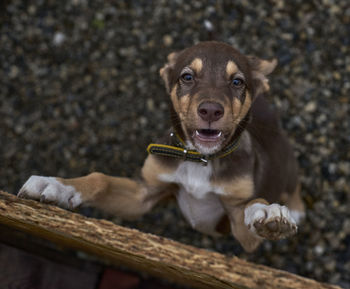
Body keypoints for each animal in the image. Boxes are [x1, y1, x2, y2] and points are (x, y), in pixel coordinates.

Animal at [18, 41, 304, 251]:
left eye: (237, 82)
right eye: (187, 77)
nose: (211, 110)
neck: (199, 160)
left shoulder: (241, 229)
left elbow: (252, 204)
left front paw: (269, 213)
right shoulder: (144, 194)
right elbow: (101, 179)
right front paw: (57, 185)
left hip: (289, 167)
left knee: (294, 186)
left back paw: (296, 210)